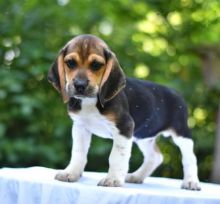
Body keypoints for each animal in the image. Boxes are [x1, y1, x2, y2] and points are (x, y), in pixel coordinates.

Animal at [48, 34, 201, 190]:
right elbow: (78, 153)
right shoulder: (80, 128)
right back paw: (136, 176)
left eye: (96, 65)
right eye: (70, 63)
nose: (79, 85)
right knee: (156, 157)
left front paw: (113, 179)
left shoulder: (124, 127)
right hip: (143, 134)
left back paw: (191, 182)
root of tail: (177, 93)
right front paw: (71, 173)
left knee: (190, 158)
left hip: (181, 134)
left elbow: (116, 156)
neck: (90, 101)